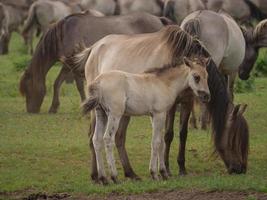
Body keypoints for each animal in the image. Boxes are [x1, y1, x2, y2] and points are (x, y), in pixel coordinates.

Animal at [19, 11, 172, 113]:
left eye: (27, 89)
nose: (31, 110)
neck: (63, 33)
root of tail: (159, 19)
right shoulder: (69, 65)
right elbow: (60, 83)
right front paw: (54, 107)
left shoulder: (72, 65)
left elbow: (76, 85)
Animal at [82, 57, 211, 184]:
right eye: (196, 77)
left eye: (207, 76)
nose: (206, 96)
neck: (164, 83)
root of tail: (98, 81)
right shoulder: (159, 114)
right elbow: (156, 142)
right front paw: (154, 174)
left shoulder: (154, 116)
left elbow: (161, 142)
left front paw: (164, 173)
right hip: (115, 114)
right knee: (108, 139)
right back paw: (114, 177)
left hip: (101, 113)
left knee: (96, 139)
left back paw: (103, 178)